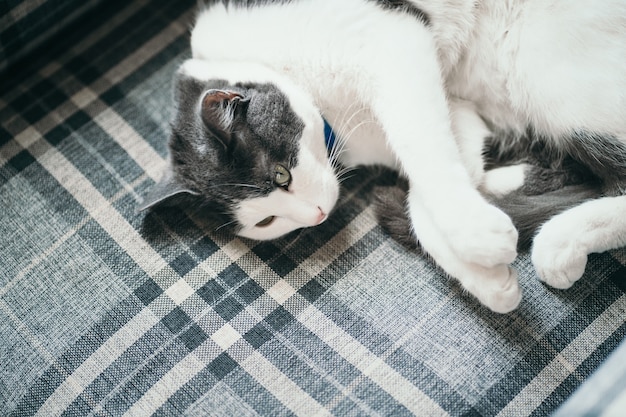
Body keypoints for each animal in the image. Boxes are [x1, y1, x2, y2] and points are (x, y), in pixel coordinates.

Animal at [140, 0, 624, 312]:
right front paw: (488, 280)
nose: (316, 215)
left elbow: (424, 153)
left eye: (280, 175)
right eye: (265, 222)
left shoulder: (394, 43)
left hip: (545, 73)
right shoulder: (454, 110)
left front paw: (476, 234)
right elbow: (429, 184)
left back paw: (561, 241)